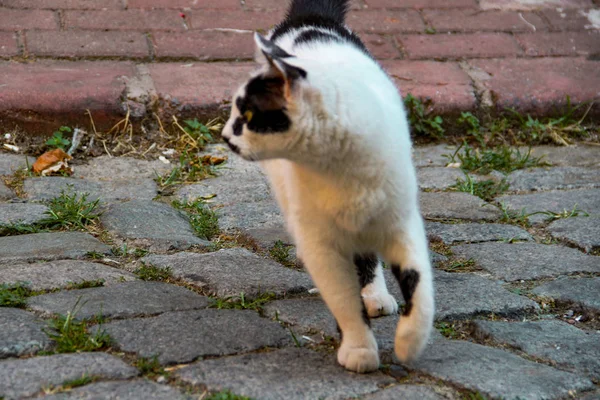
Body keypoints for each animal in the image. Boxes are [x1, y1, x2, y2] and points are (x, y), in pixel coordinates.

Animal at [219, 0, 432, 374]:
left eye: (248, 115)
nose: (225, 135)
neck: (340, 167)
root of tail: (312, 19)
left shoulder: (402, 225)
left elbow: (419, 289)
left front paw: (409, 344)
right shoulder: (322, 245)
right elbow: (344, 301)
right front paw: (359, 350)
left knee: (368, 257)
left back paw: (375, 295)